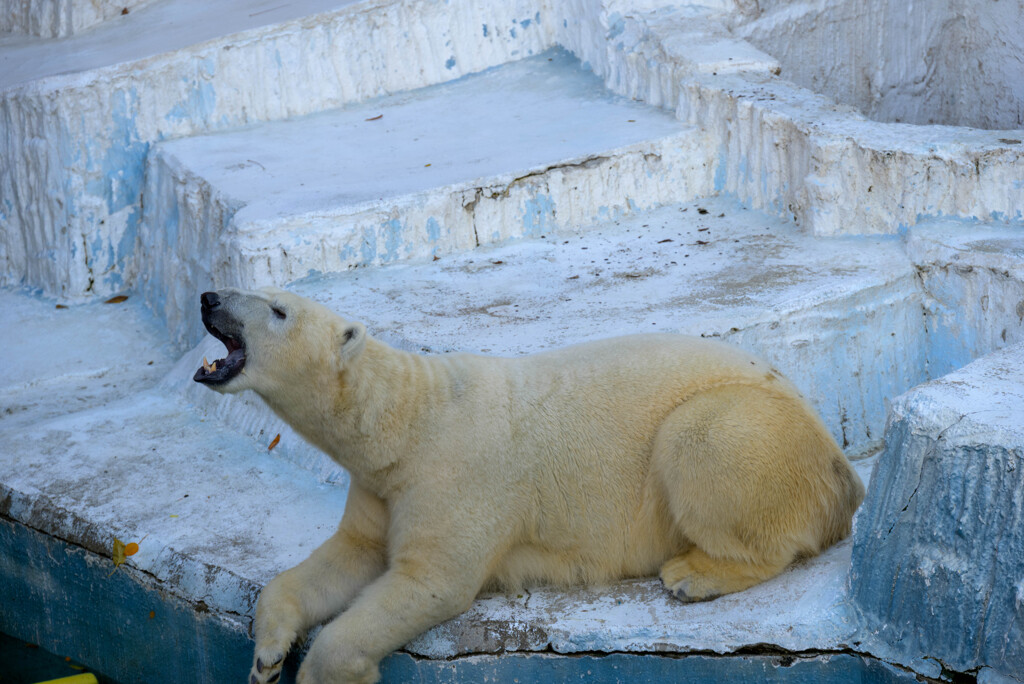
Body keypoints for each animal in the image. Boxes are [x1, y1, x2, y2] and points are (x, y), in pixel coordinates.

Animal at [193, 286, 864, 679]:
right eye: (250, 284)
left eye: (277, 309)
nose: (208, 296)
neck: (410, 420)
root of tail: (844, 469)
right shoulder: (381, 487)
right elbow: (348, 556)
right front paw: (266, 656)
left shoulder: (456, 476)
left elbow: (430, 581)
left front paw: (322, 669)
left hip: (756, 432)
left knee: (700, 442)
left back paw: (693, 574)